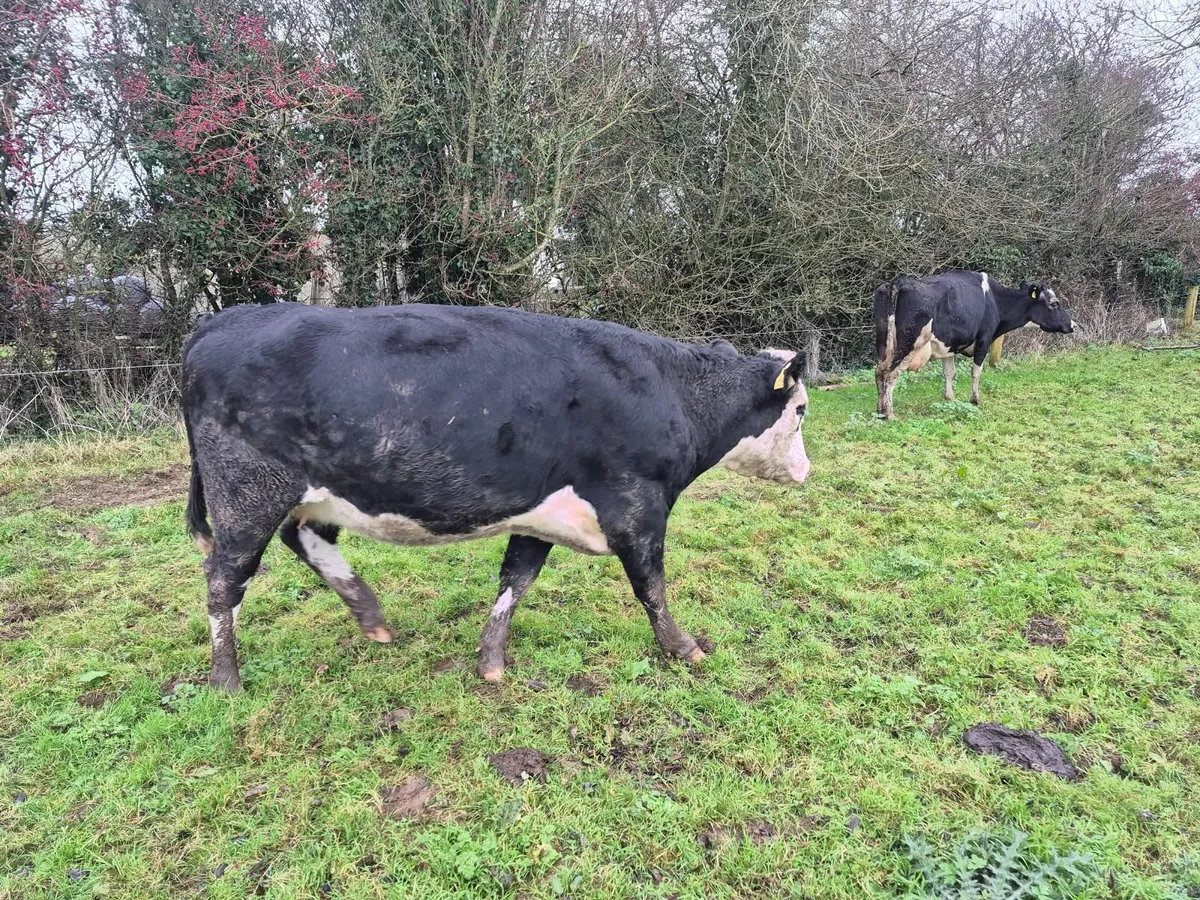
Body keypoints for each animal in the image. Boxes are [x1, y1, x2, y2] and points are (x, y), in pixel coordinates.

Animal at [182, 302, 811, 691]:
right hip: (247, 493)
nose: (806, 470)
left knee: (305, 537)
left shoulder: (540, 515)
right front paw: (684, 647)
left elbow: (516, 580)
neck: (672, 392)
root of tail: (225, 319)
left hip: (312, 493)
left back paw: (370, 614)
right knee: (223, 579)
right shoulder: (638, 506)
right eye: (802, 410)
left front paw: (490, 660)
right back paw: (226, 679)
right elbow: (651, 586)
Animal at [874, 270, 1075, 419]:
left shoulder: (949, 345)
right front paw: (975, 399)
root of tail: (899, 282)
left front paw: (949, 398)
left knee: (879, 371)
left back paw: (880, 410)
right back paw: (890, 414)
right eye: (1054, 303)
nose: (1073, 324)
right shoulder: (984, 339)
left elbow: (949, 372)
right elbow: (976, 371)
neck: (995, 300)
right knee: (890, 374)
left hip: (883, 344)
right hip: (909, 343)